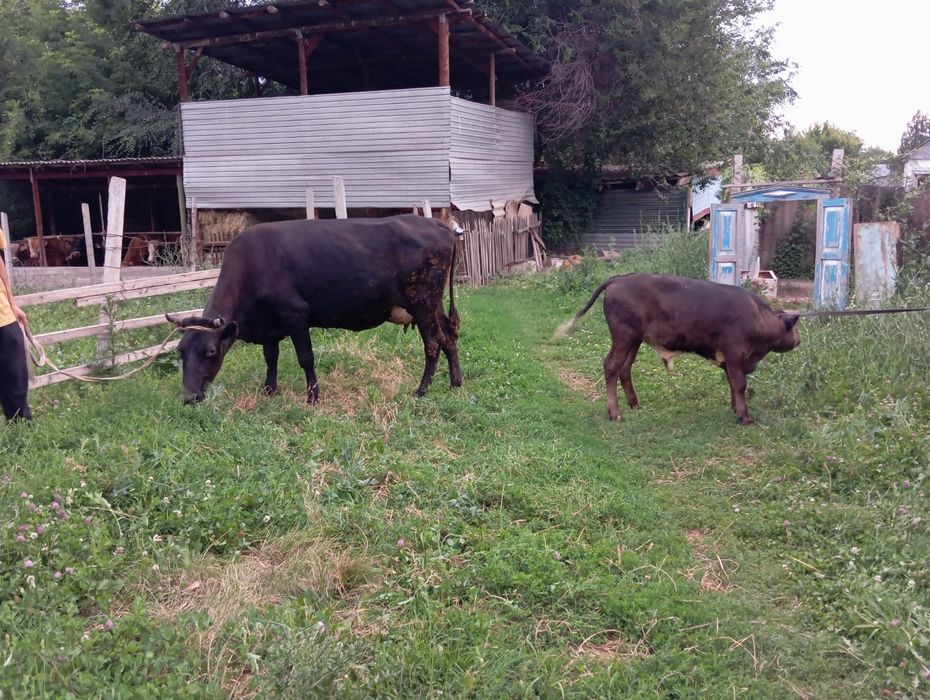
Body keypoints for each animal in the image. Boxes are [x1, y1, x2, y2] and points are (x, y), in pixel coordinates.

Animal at [166, 215, 462, 405]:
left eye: (210, 351)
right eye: (180, 351)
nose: (189, 397)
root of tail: (436, 223)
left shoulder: (296, 314)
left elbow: (305, 357)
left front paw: (313, 396)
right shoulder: (270, 325)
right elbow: (270, 357)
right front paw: (269, 390)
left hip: (423, 302)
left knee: (433, 343)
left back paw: (421, 390)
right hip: (432, 304)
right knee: (448, 337)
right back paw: (455, 383)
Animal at [556, 273, 801, 425]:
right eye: (794, 328)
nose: (798, 340)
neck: (758, 318)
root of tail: (620, 279)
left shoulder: (731, 360)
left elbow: (732, 382)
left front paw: (734, 409)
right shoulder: (735, 353)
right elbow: (740, 384)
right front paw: (745, 417)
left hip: (634, 339)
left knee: (625, 368)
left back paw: (634, 404)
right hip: (623, 336)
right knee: (611, 366)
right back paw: (615, 414)